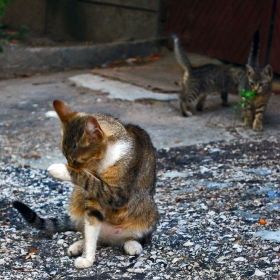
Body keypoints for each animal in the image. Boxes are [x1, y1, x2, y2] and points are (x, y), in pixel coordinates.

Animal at [13, 100, 159, 270]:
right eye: (65, 156)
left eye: (76, 161)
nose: (70, 165)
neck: (101, 163)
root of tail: (111, 239)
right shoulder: (94, 199)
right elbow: (91, 225)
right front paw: (87, 258)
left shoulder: (118, 194)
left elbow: (88, 179)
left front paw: (60, 170)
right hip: (77, 198)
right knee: (91, 232)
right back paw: (79, 245)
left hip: (148, 209)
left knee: (139, 236)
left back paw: (132, 244)